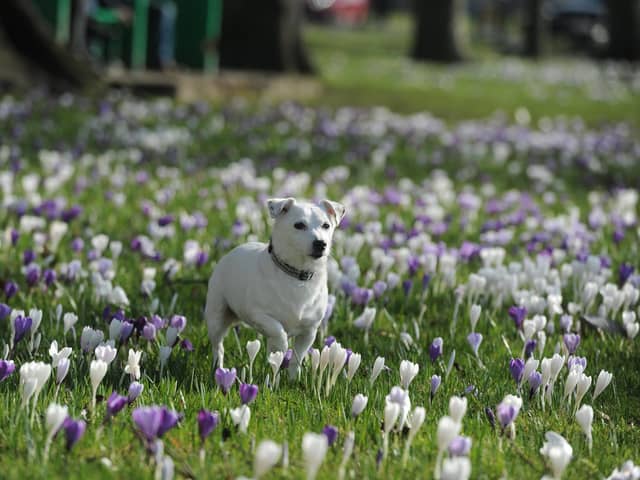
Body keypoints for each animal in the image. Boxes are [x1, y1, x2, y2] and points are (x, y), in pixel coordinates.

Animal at [205, 197, 344, 376]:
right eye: (299, 225)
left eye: (326, 225)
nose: (321, 243)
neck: (297, 275)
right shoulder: (259, 315)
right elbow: (279, 332)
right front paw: (280, 349)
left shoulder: (309, 331)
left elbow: (297, 357)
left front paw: (293, 379)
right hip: (216, 316)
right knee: (218, 346)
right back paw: (218, 368)